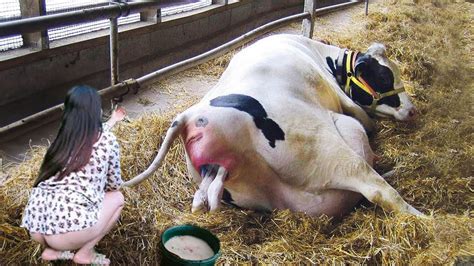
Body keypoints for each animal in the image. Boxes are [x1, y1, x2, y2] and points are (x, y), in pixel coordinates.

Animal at [123, 33, 422, 217]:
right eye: (383, 76)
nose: (412, 110)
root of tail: (189, 116)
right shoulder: (347, 103)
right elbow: (367, 120)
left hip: (234, 180)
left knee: (207, 194)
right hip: (323, 148)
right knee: (378, 189)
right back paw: (422, 217)